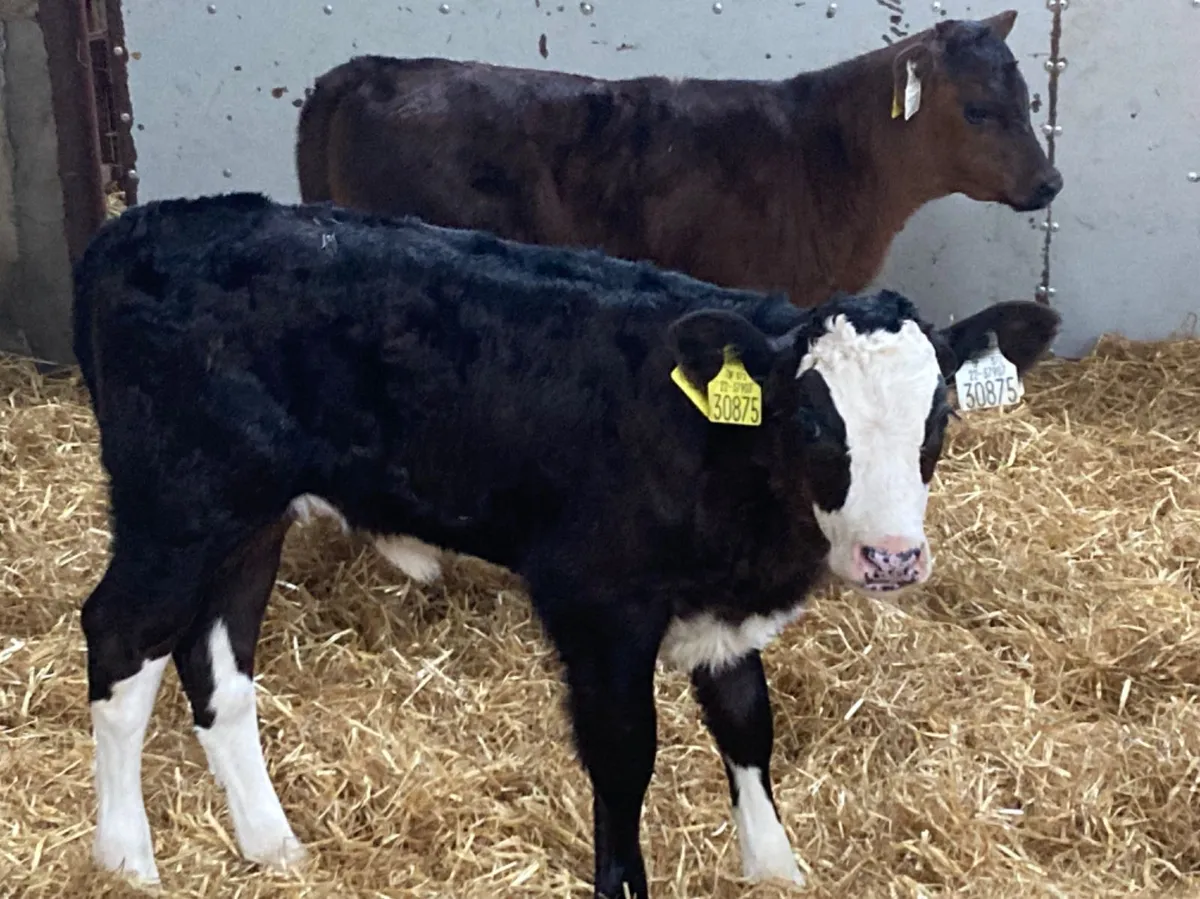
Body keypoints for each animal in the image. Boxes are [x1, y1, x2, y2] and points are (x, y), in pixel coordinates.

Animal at [74, 192, 1059, 899]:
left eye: (939, 415)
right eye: (813, 419)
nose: (892, 556)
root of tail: (139, 225)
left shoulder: (723, 606)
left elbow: (748, 722)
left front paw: (776, 867)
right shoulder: (596, 602)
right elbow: (625, 758)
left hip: (247, 522)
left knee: (217, 665)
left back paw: (272, 844)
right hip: (176, 507)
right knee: (120, 636)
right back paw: (126, 858)